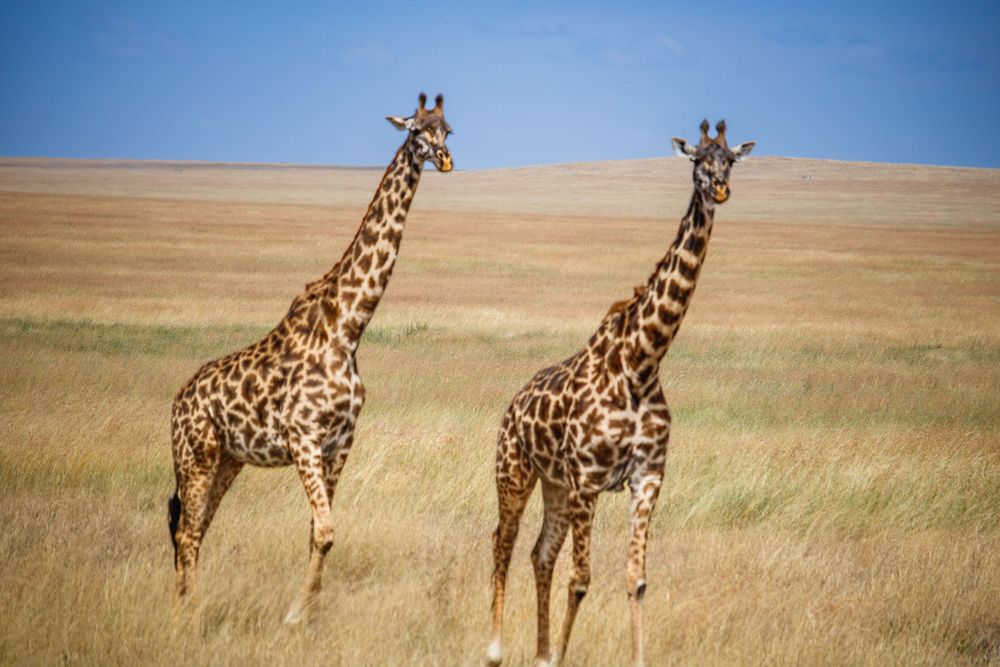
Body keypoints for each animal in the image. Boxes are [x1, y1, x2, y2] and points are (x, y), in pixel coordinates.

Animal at [168, 93, 453, 624]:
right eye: (415, 130)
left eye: (448, 130)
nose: (444, 160)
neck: (349, 328)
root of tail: (176, 402)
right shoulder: (303, 437)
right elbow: (325, 531)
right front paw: (296, 616)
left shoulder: (340, 444)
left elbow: (316, 534)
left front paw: (309, 614)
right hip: (195, 454)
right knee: (187, 530)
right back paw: (189, 613)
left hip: (227, 460)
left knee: (195, 527)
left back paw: (184, 603)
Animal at [486, 120, 754, 667]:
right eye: (697, 159)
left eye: (731, 160)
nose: (719, 188)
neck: (641, 361)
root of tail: (512, 405)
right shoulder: (588, 480)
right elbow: (581, 580)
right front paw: (561, 656)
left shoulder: (647, 477)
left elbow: (636, 581)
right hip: (515, 474)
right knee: (503, 545)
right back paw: (495, 648)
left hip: (555, 485)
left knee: (539, 554)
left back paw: (540, 651)